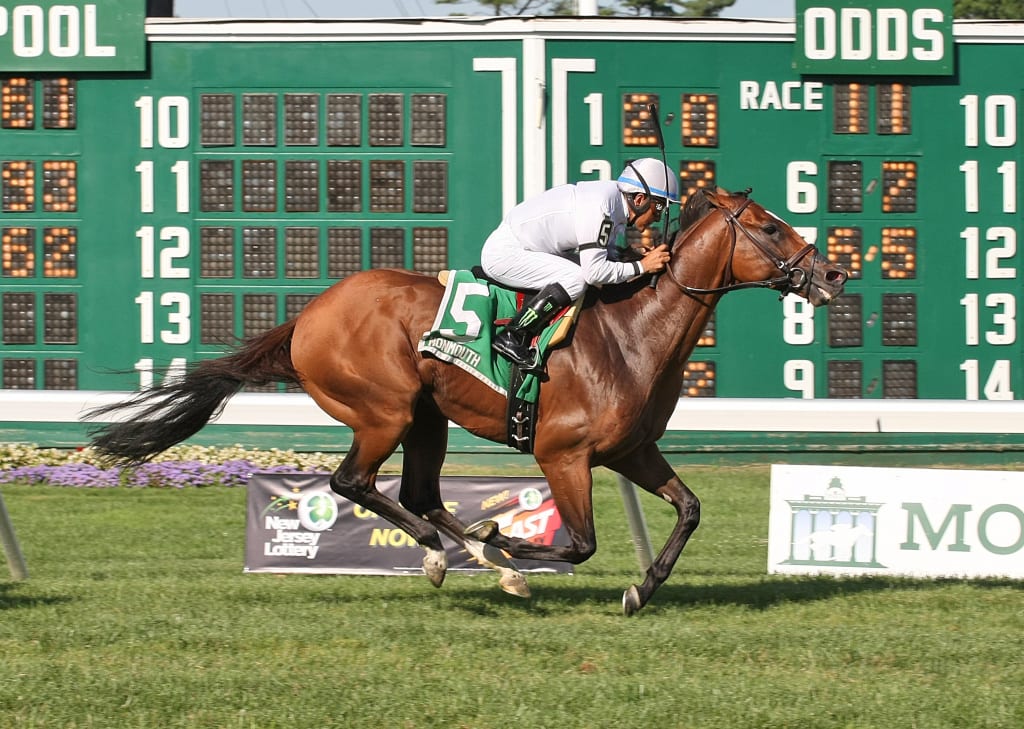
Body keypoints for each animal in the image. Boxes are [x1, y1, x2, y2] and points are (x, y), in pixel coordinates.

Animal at [86, 186, 847, 614]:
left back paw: (480, 561)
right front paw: (505, 537)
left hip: (428, 417)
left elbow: (689, 510)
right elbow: (580, 543)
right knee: (354, 482)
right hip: (385, 410)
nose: (833, 272)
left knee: (419, 493)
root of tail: (308, 314)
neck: (632, 335)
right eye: (769, 226)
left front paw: (639, 589)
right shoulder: (563, 455)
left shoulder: (631, 450)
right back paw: (449, 554)